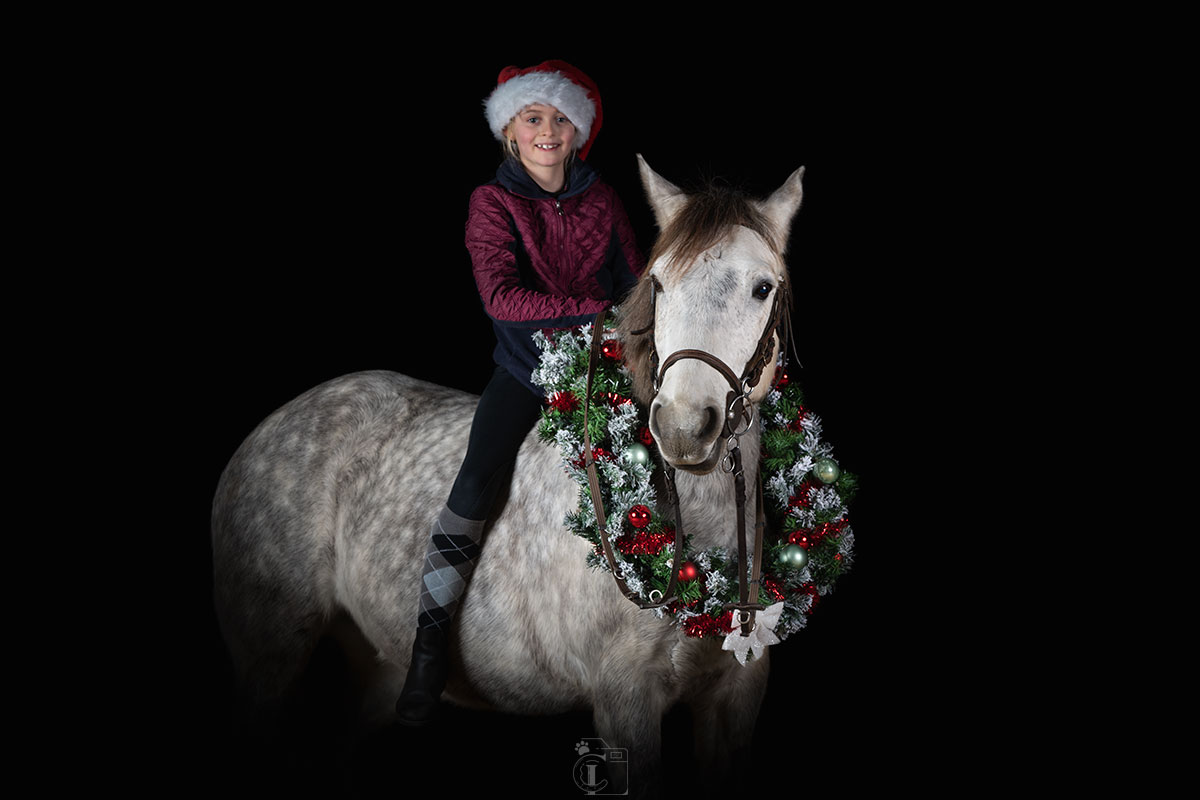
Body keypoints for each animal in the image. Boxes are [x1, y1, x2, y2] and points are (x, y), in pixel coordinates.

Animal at [210, 158, 806, 796]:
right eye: (660, 285)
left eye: (762, 287)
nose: (684, 427)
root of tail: (268, 428)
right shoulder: (626, 701)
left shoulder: (736, 696)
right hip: (270, 661)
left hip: (371, 666)